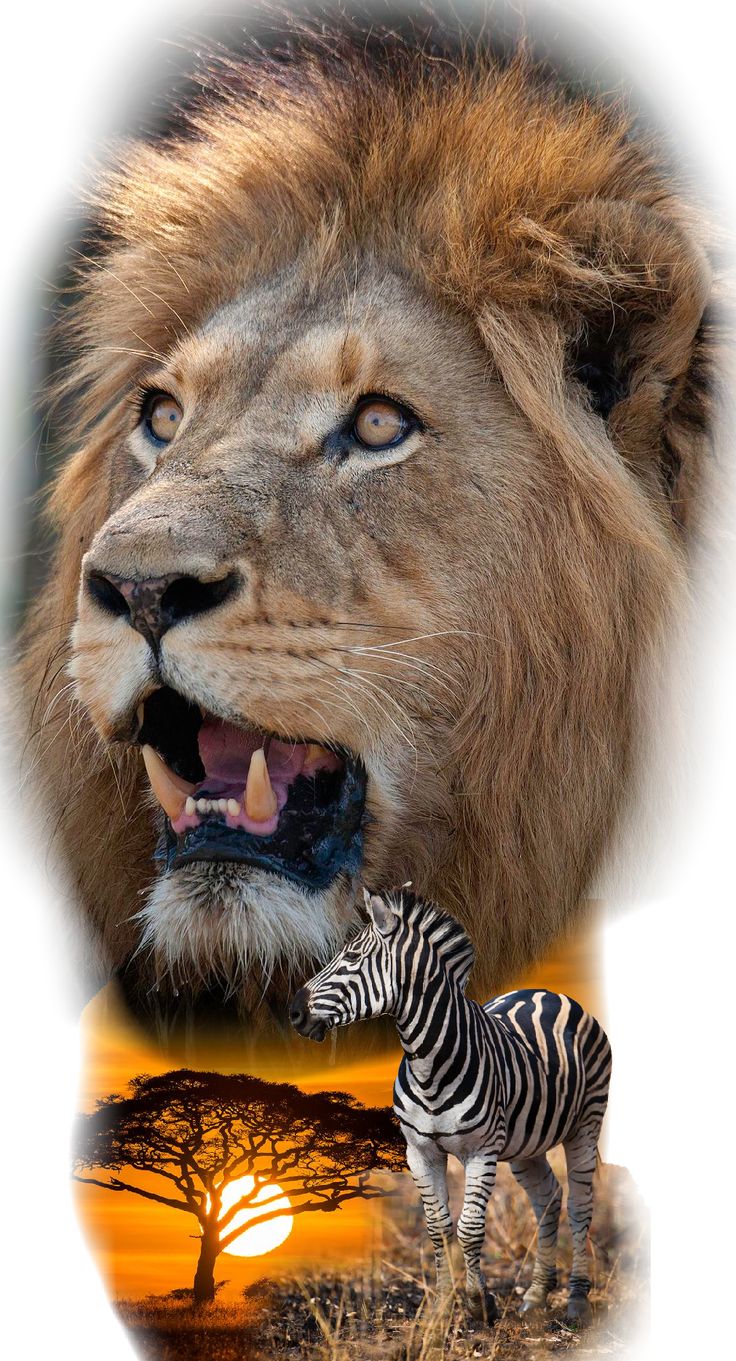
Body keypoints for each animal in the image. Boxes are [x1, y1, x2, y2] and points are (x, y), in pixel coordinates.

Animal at [290, 886, 612, 1326]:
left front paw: (479, 1303)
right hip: (526, 1145)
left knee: (580, 1206)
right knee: (548, 1198)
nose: (293, 1012)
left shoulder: (481, 1152)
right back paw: (536, 1294)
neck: (428, 1063)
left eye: (352, 957)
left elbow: (470, 1227)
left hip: (585, 1125)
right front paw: (441, 1307)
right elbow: (438, 1227)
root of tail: (547, 992)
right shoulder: (420, 1151)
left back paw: (577, 1300)